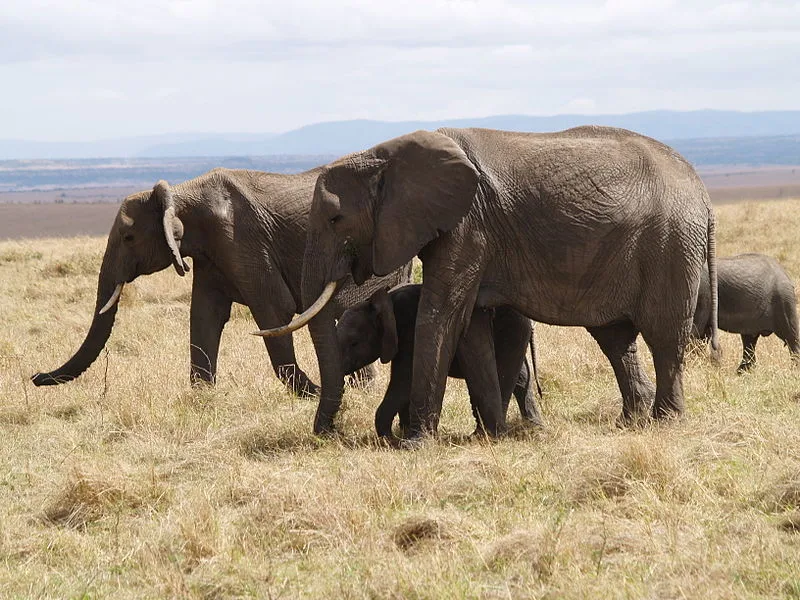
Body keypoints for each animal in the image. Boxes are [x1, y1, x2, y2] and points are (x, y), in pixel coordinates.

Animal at [29, 169, 412, 394]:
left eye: (128, 237)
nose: (34, 377)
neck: (179, 193)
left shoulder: (240, 240)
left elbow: (274, 312)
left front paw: (311, 394)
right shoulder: (212, 253)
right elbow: (204, 316)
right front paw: (202, 399)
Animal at [256, 126, 720, 438]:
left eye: (336, 219)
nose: (329, 434)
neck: (382, 155)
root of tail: (703, 190)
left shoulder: (467, 226)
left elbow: (441, 316)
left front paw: (417, 442)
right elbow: (471, 326)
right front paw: (487, 435)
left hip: (671, 244)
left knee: (663, 335)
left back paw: (665, 421)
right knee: (615, 338)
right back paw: (630, 421)